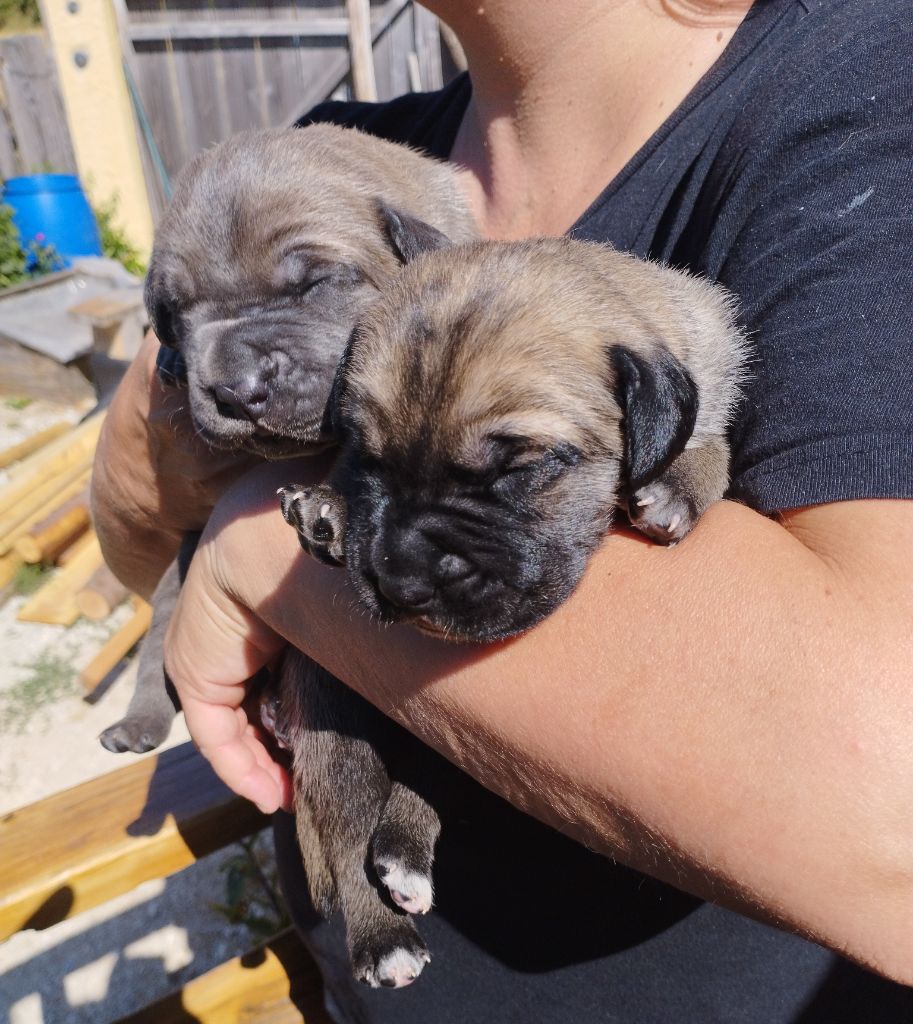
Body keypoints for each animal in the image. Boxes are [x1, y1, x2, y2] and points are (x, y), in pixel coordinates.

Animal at [278, 226, 749, 983]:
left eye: (517, 469)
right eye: (368, 458)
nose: (401, 584)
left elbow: (711, 438)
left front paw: (681, 481)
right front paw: (332, 509)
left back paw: (403, 851)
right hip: (333, 728)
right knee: (351, 834)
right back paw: (385, 933)